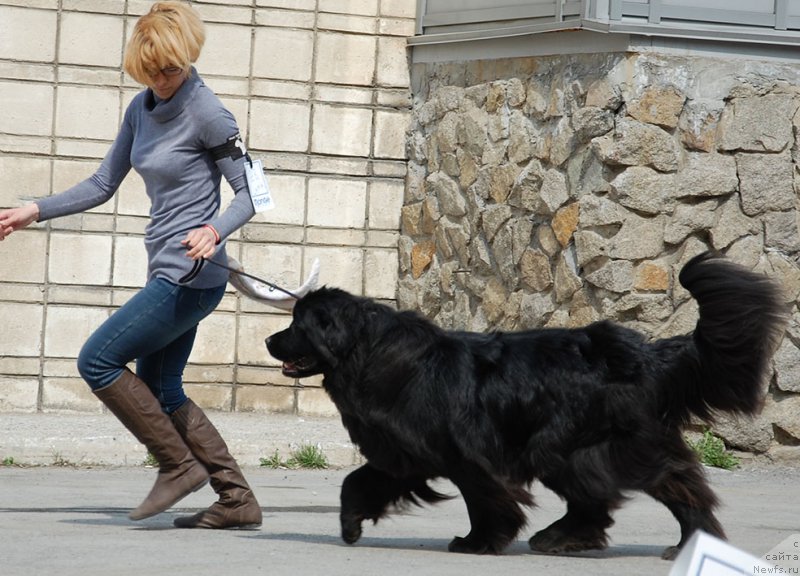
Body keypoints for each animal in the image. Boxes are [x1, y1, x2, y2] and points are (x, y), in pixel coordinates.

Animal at [264, 252, 788, 560]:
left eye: (296, 326)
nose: (269, 339)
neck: (368, 354)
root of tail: (647, 354)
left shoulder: (466, 456)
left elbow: (484, 499)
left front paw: (478, 542)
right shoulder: (405, 451)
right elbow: (358, 481)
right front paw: (351, 524)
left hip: (570, 444)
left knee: (650, 486)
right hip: (577, 447)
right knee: (625, 493)